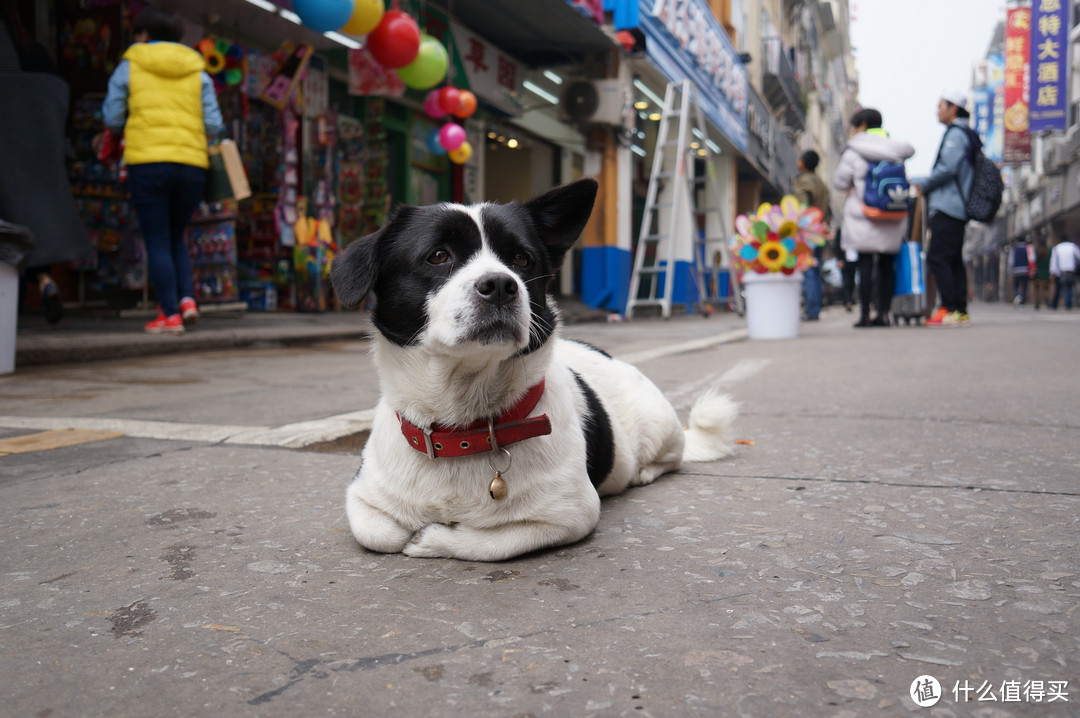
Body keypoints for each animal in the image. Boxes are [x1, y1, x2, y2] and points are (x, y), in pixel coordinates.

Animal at [332, 179, 738, 561]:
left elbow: (494, 541)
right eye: (438, 255)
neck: (465, 429)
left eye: (521, 259)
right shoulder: (361, 496)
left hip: (659, 426)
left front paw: (431, 540)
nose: (500, 284)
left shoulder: (571, 515)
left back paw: (643, 470)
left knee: (670, 457)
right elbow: (379, 533)